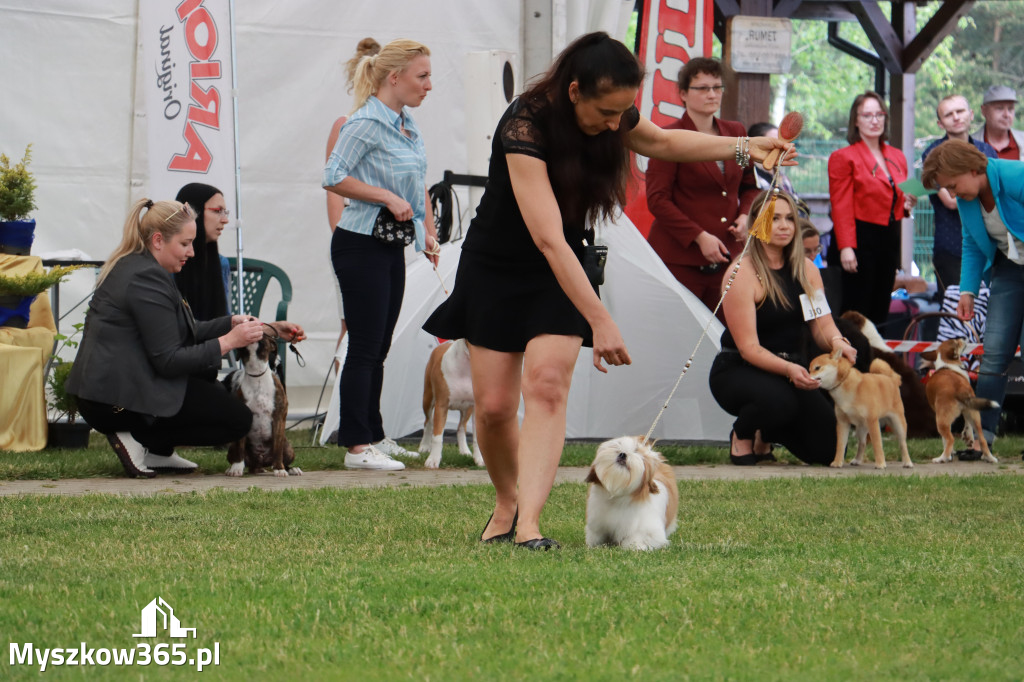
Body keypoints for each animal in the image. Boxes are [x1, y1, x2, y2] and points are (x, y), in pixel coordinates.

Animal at [223, 335, 299, 475]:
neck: (256, 374)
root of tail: (260, 461)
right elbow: (240, 448)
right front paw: (236, 468)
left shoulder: (278, 417)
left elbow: (278, 449)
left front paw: (279, 469)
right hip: (232, 448)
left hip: (289, 448)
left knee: (283, 457)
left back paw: (291, 469)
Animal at [415, 337, 483, 466]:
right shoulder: (441, 405)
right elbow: (437, 436)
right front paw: (433, 459)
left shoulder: (478, 408)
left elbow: (477, 438)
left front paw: (480, 459)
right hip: (427, 399)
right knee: (428, 422)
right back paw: (424, 446)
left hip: (467, 409)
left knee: (461, 428)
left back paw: (464, 450)